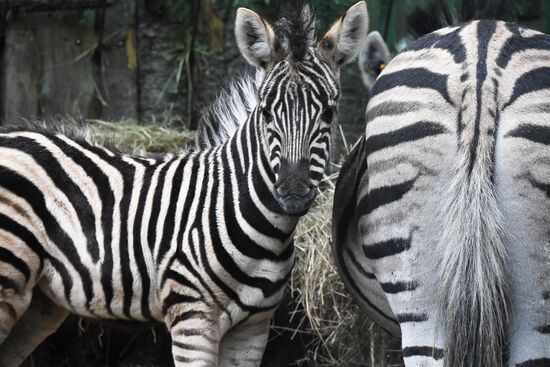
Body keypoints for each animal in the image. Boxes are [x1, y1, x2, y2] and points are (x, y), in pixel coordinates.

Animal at [0, 0, 370, 367]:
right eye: (266, 112)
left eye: (329, 113)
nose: (292, 194)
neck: (266, 231)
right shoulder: (193, 319)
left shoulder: (253, 329)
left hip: (41, 301)